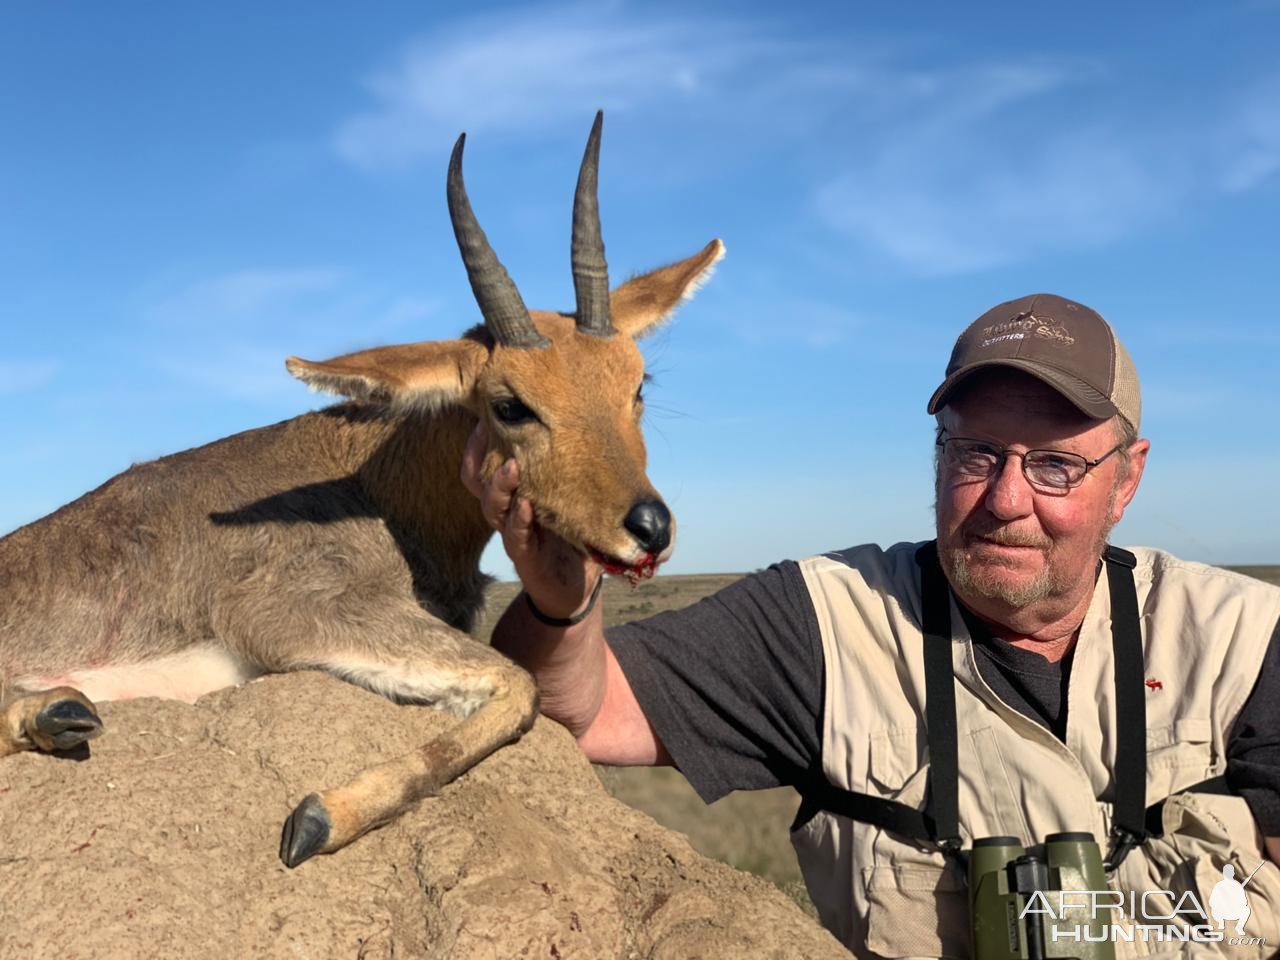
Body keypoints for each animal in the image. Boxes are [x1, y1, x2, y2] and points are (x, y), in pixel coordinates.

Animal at [0, 114, 721, 870]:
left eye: (636, 384)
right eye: (510, 405)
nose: (648, 528)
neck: (379, 484)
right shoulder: (288, 614)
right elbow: (520, 687)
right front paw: (319, 817)